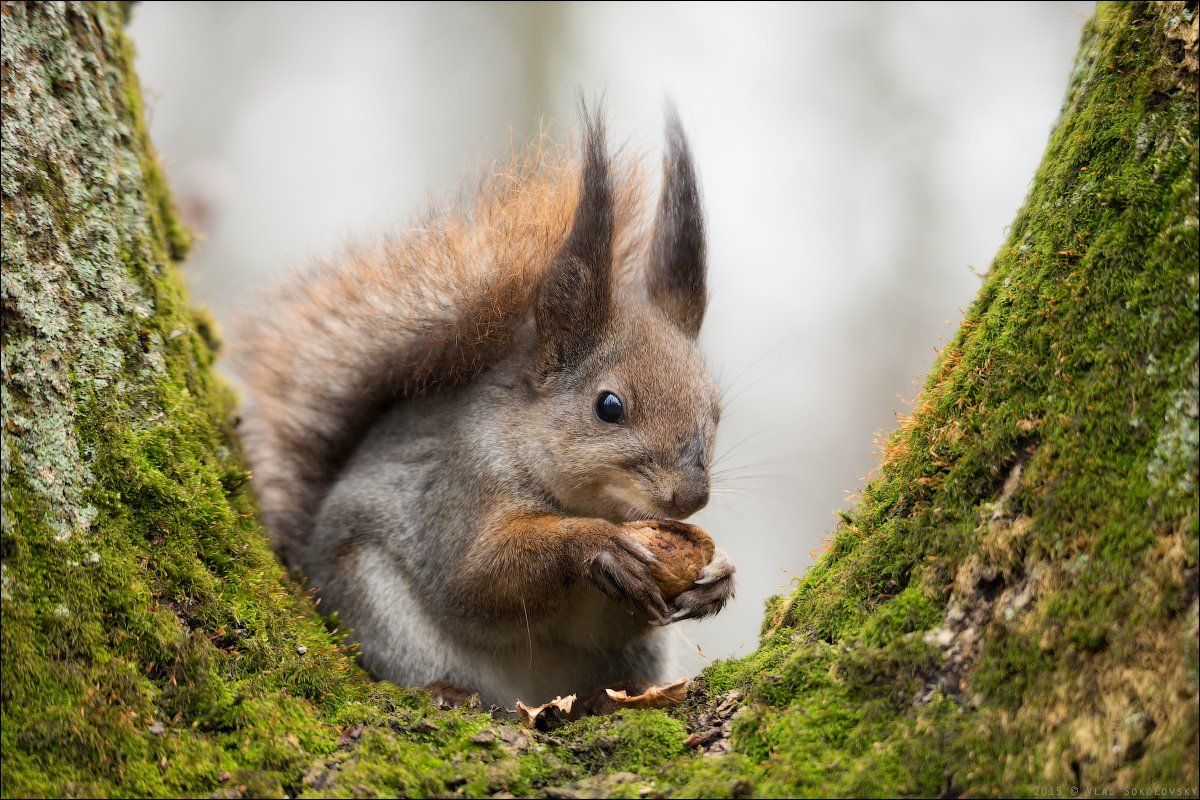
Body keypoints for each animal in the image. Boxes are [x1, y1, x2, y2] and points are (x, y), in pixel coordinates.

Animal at [236, 107, 729, 705]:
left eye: (716, 408)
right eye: (609, 406)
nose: (692, 496)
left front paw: (718, 577)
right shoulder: (463, 487)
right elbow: (477, 578)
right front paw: (595, 545)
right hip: (376, 605)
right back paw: (445, 691)